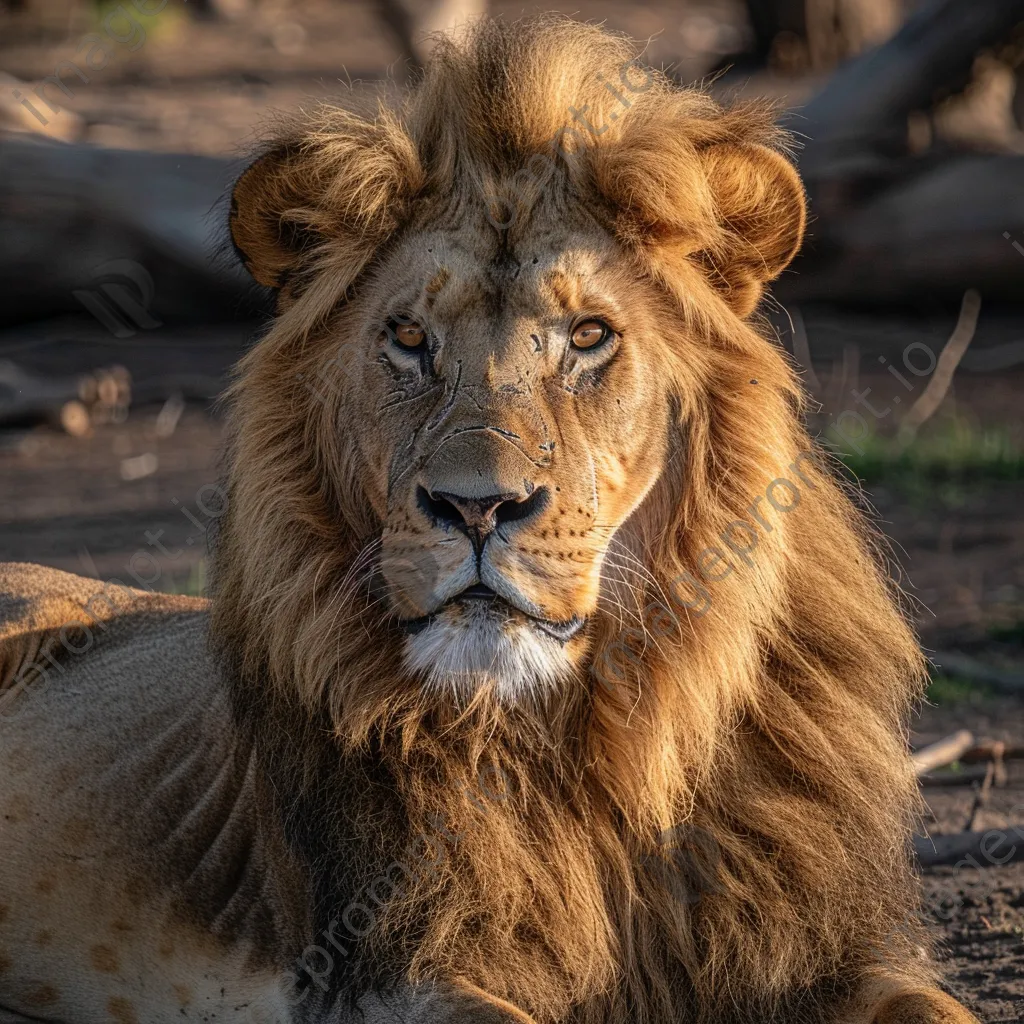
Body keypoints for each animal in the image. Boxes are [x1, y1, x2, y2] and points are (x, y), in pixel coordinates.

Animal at [0, 16, 974, 1024]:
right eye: (409, 339)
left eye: (589, 336)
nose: (476, 506)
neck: (598, 755)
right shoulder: (381, 971)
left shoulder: (822, 951)